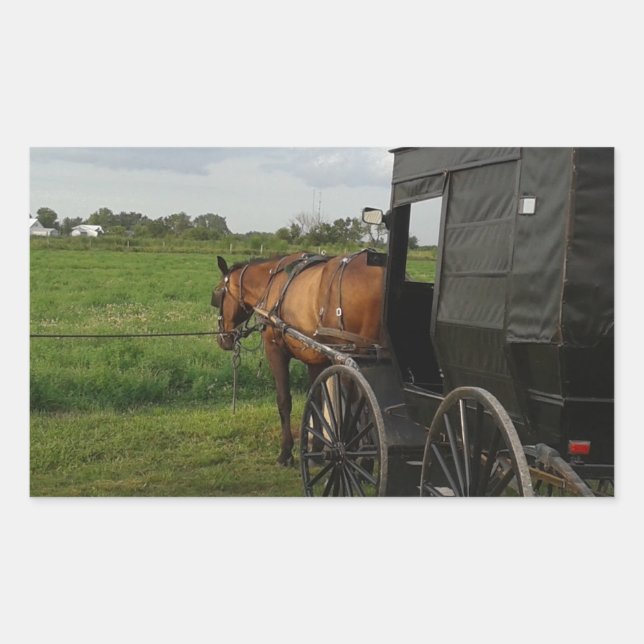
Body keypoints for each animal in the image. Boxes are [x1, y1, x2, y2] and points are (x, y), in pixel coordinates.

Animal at [212, 250, 385, 465]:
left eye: (218, 293)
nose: (222, 339)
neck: (271, 282)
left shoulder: (275, 350)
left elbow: (284, 400)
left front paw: (286, 452)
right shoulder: (316, 359)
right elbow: (317, 399)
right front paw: (315, 450)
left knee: (360, 404)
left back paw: (363, 458)